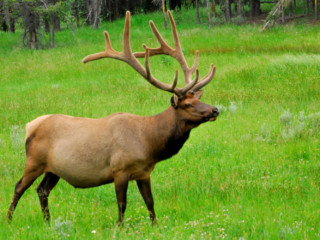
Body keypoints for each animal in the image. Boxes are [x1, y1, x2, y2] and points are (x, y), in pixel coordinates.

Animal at [6, 11, 220, 225]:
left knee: (42, 190)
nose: (215, 110)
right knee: (18, 186)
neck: (149, 142)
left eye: (199, 99)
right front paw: (120, 227)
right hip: (34, 161)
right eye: (187, 105)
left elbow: (150, 203)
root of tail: (30, 126)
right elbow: (122, 204)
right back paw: (9, 220)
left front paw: (155, 225)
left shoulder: (143, 172)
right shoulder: (120, 170)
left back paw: (48, 222)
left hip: (53, 169)